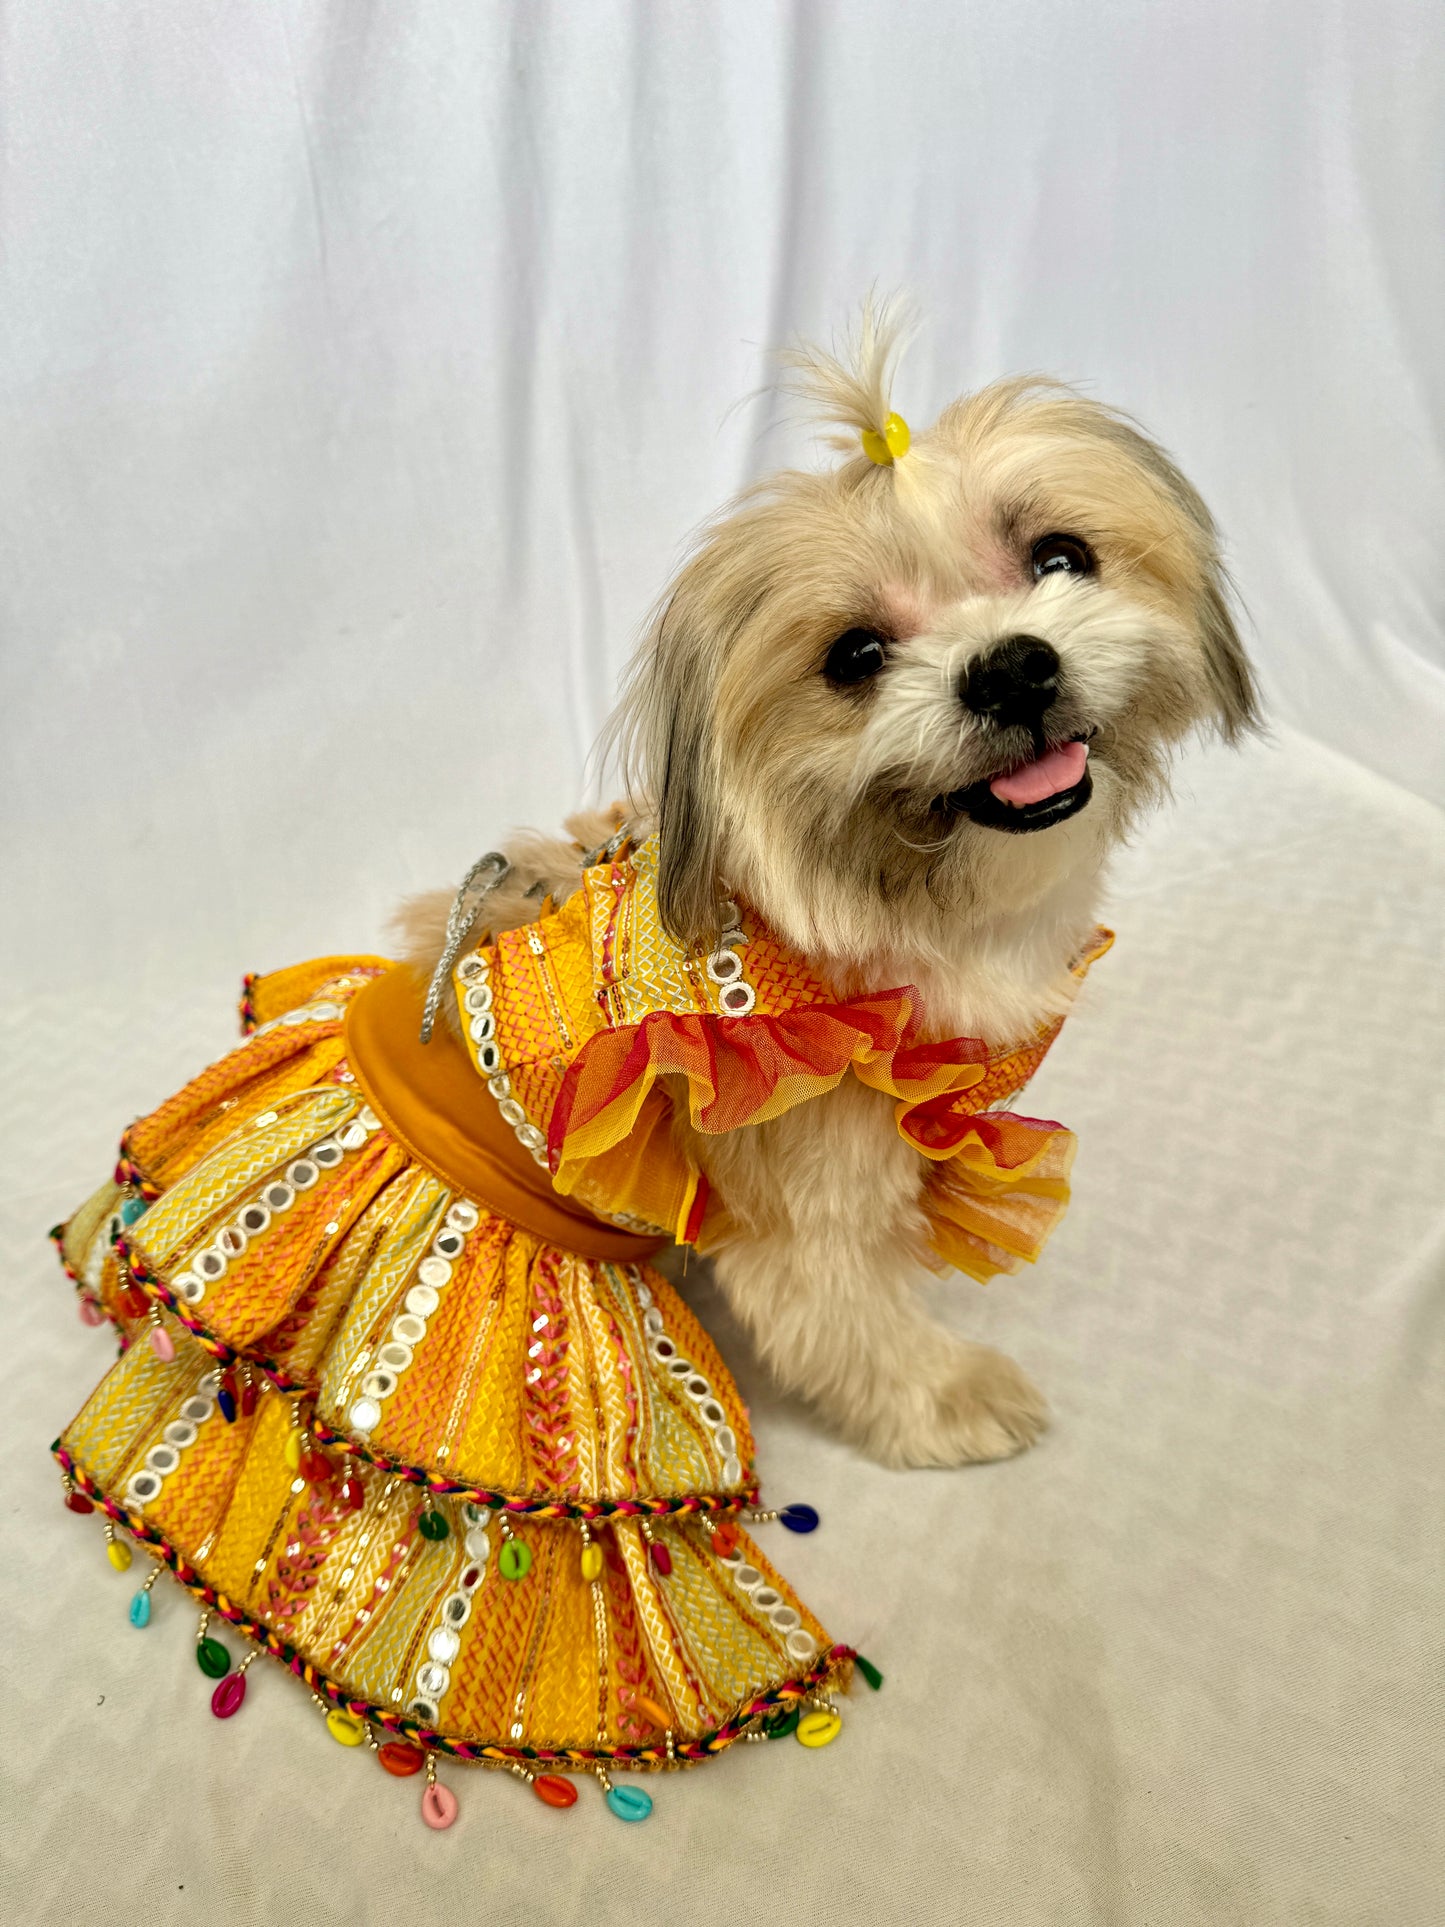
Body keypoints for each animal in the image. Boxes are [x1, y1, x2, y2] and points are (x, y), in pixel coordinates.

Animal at [398, 308, 1256, 1464]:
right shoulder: (809, 1191)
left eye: (1058, 557)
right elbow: (848, 1320)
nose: (1008, 668)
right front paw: (952, 1395)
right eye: (854, 655)